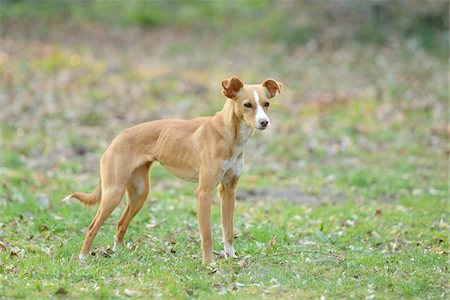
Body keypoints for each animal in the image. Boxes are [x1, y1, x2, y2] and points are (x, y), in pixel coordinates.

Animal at [64, 76, 282, 264]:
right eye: (247, 105)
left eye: (266, 104)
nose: (264, 122)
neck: (228, 135)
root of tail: (116, 139)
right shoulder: (204, 192)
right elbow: (207, 234)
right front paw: (209, 263)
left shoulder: (228, 191)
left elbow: (228, 230)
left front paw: (231, 257)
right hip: (113, 193)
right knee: (92, 227)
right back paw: (83, 257)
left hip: (139, 193)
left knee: (120, 224)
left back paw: (116, 253)